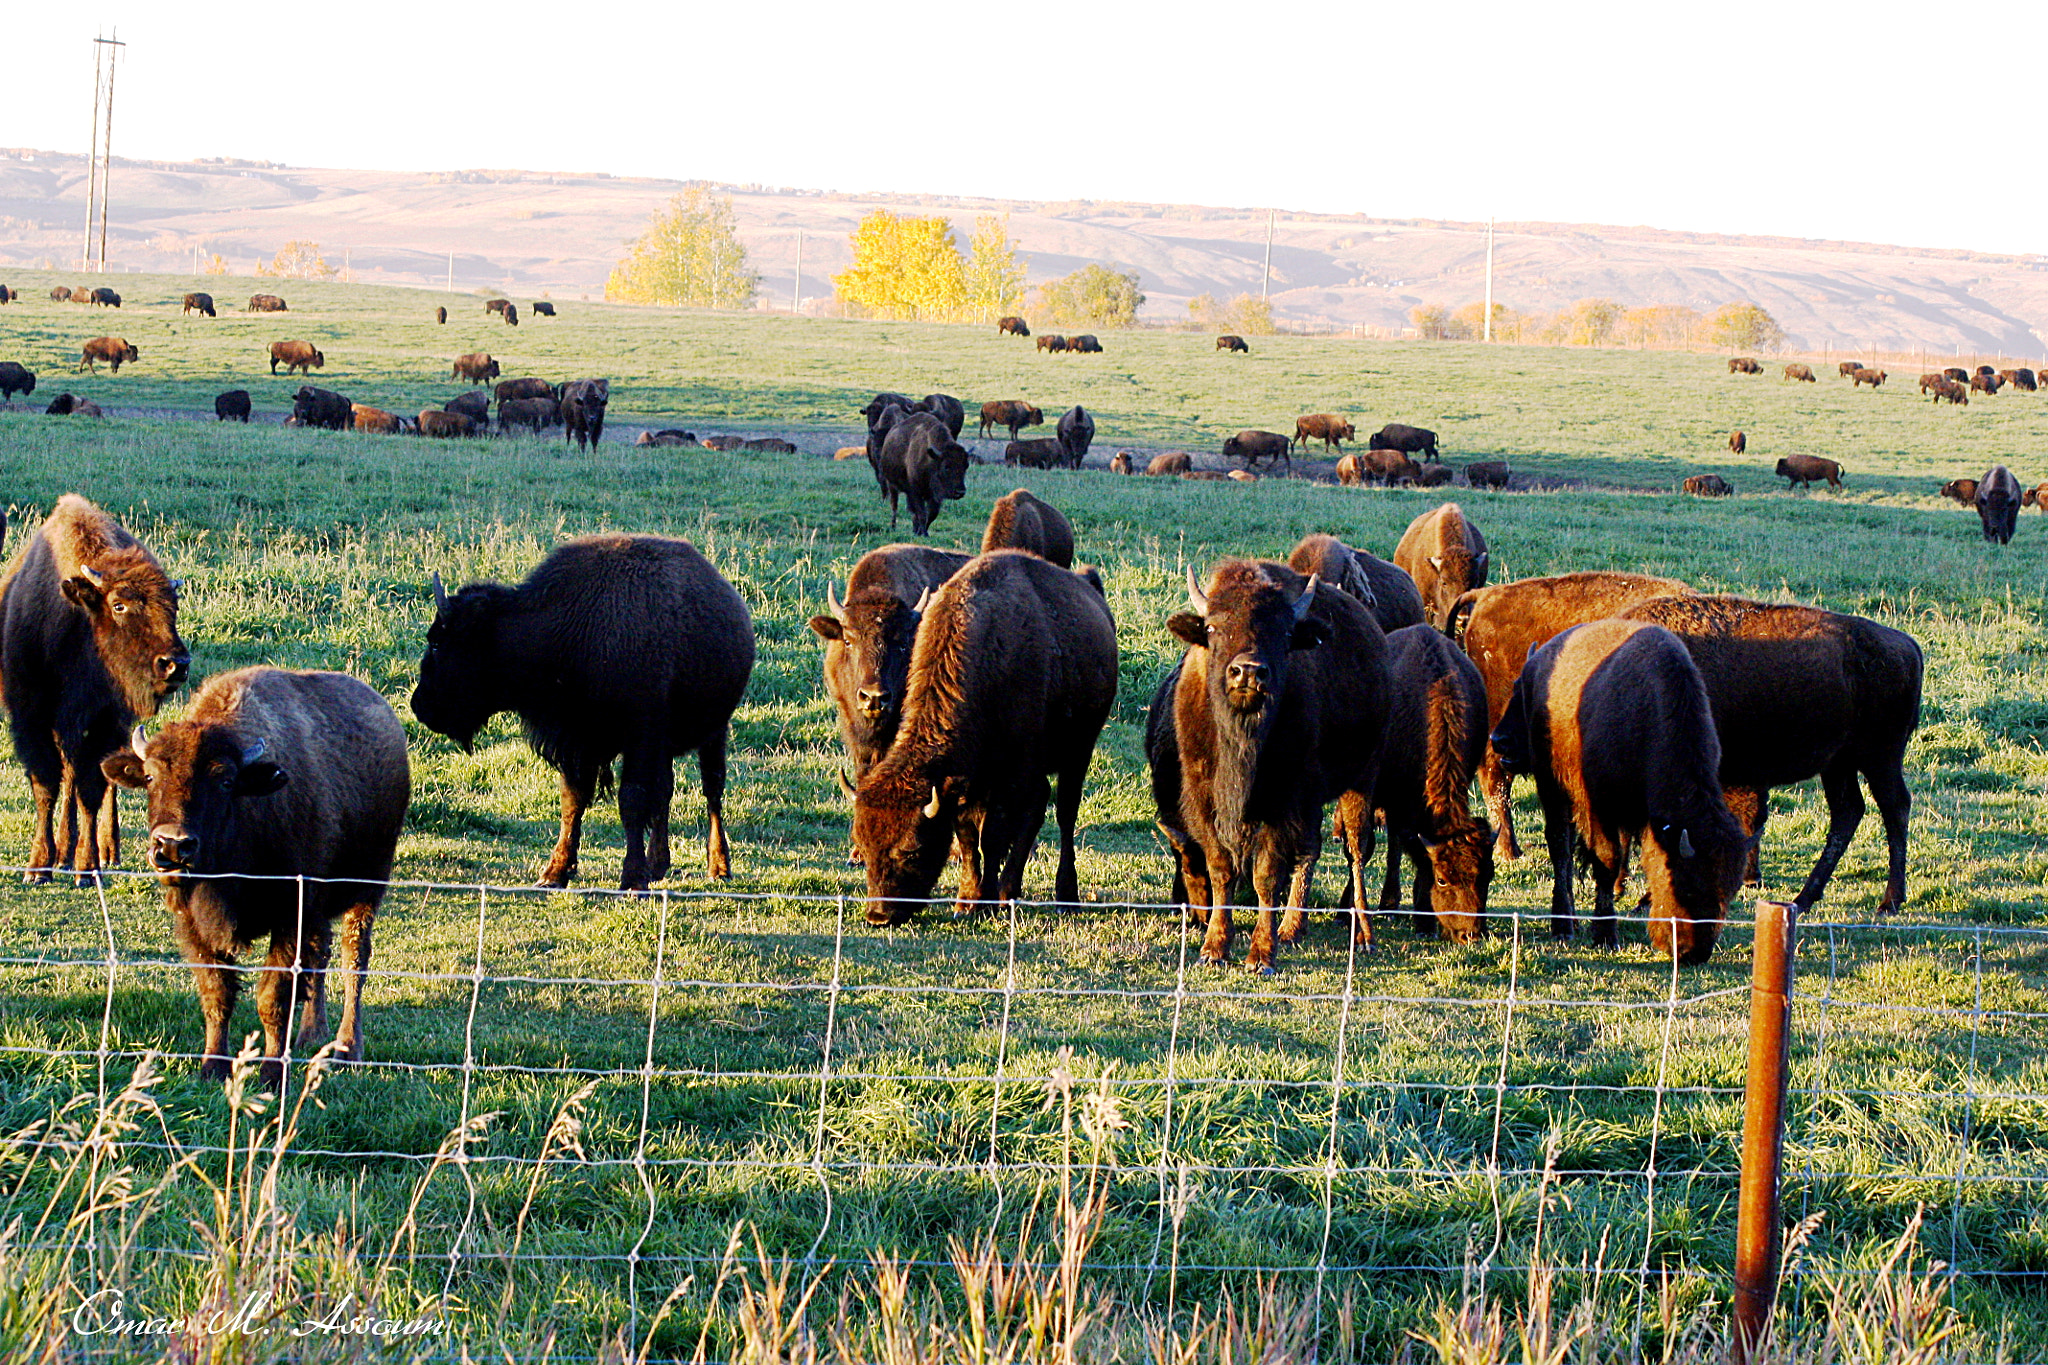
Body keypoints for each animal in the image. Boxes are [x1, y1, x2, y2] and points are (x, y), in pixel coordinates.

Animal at [103, 668, 408, 1083]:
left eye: (225, 781)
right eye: (150, 777)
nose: (173, 846)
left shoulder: (291, 916)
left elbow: (273, 997)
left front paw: (271, 1074)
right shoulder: (195, 925)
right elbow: (217, 993)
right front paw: (212, 1068)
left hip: (367, 887)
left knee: (353, 958)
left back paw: (347, 1048)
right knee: (322, 958)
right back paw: (312, 1034)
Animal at [414, 535, 754, 891]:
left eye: (437, 643)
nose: (419, 705)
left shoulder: (638, 736)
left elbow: (632, 799)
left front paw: (633, 880)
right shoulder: (577, 742)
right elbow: (574, 801)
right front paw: (554, 874)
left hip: (715, 731)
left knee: (712, 790)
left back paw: (719, 867)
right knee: (666, 791)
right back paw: (658, 864)